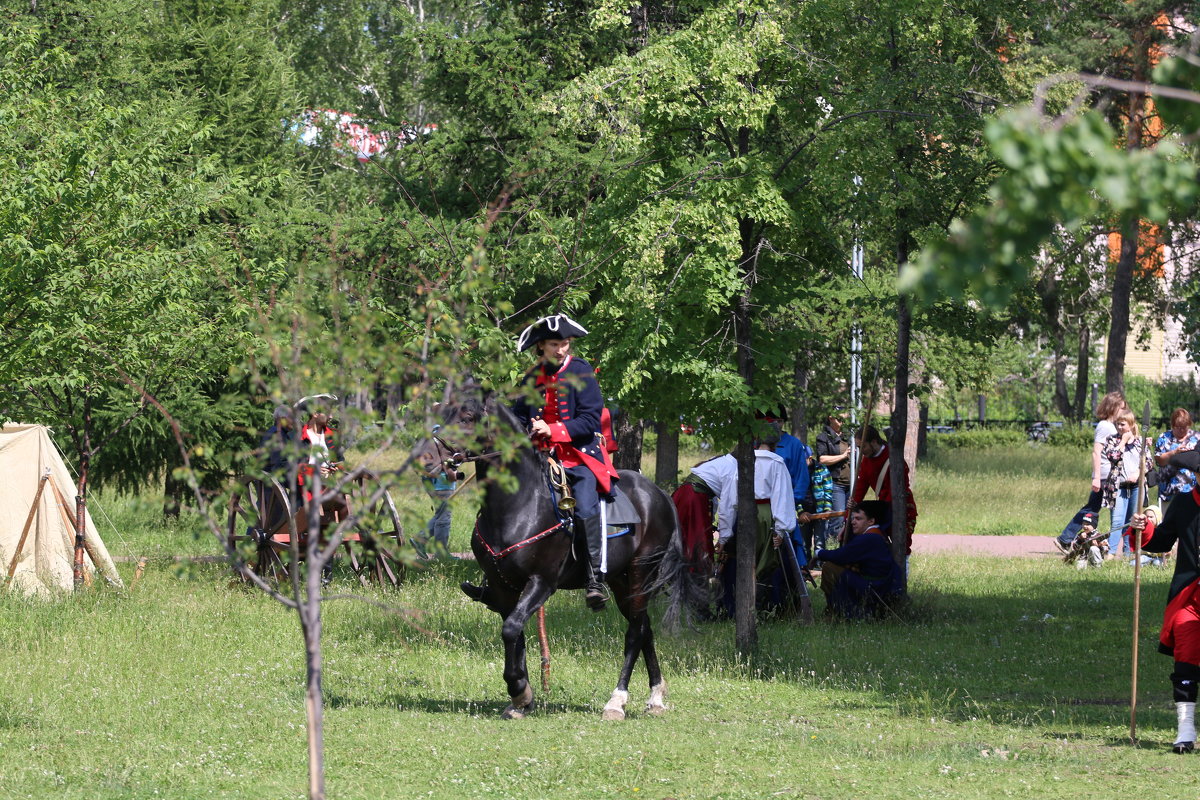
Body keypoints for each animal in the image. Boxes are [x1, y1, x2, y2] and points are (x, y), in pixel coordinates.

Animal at [429, 383, 696, 724]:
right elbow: (514, 633)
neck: (519, 503)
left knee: (636, 632)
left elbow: (511, 628)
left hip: (641, 572)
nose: (432, 457)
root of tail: (659, 493)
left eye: (467, 416)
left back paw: (616, 701)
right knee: (645, 627)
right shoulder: (503, 587)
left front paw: (519, 690)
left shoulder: (542, 582)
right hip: (622, 581)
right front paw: (521, 697)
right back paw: (656, 697)